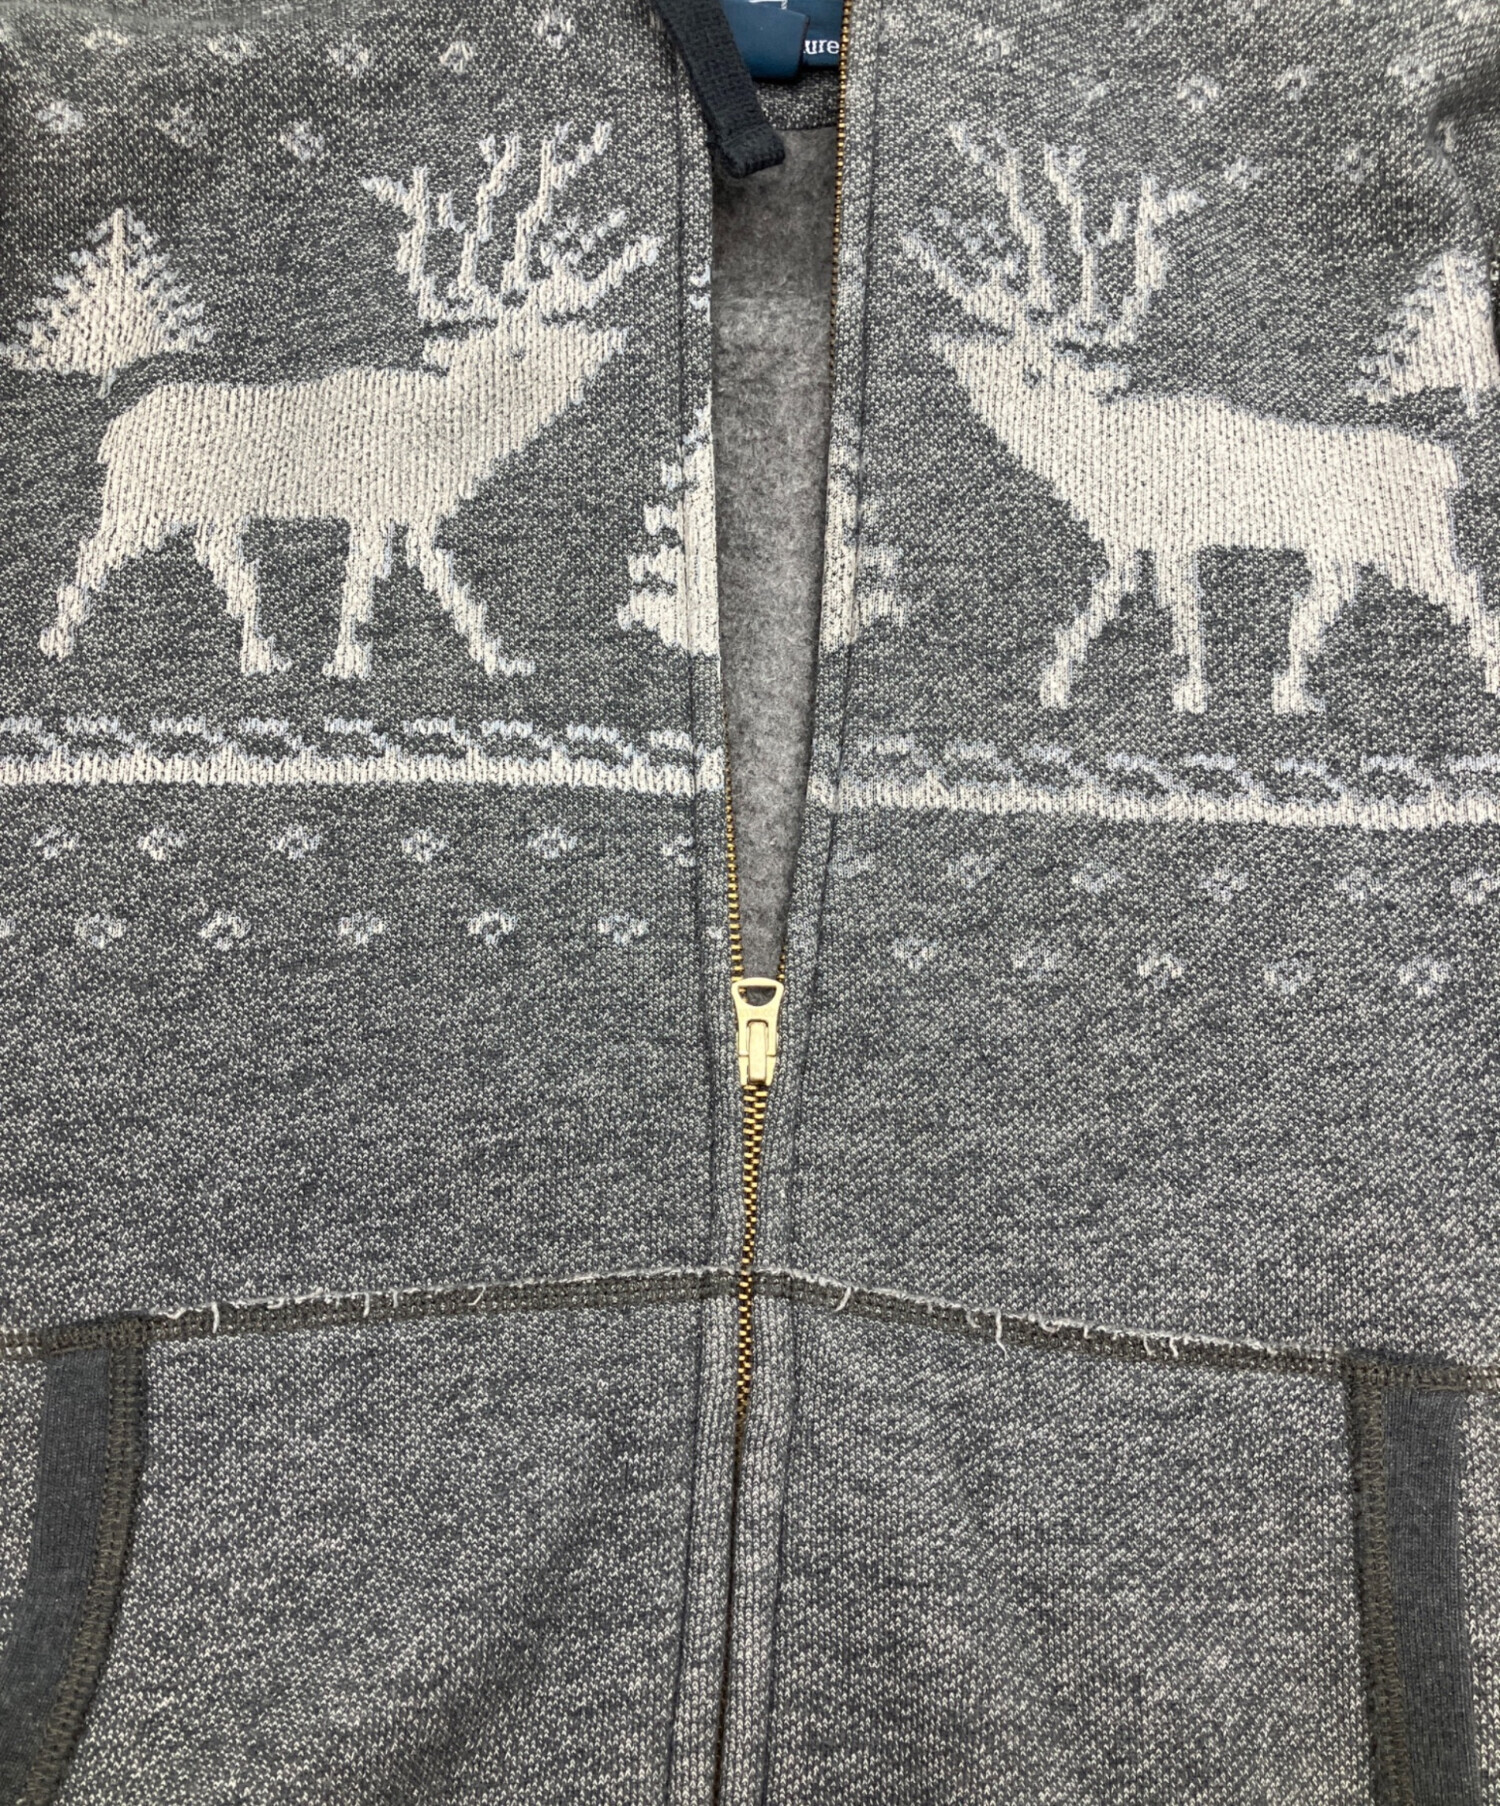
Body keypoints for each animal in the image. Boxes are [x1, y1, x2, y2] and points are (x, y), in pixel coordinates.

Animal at [41, 121, 660, 681]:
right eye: (519, 347)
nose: (597, 350)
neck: (449, 434)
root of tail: (114, 432)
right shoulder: (375, 501)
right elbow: (370, 579)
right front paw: (353, 662)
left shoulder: (412, 512)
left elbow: (432, 578)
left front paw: (496, 659)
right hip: (141, 502)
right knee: (92, 554)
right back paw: (56, 642)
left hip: (212, 509)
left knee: (222, 562)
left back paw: (264, 656)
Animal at [903, 126, 1500, 716]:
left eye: (1034, 372)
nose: (974, 378)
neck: (1096, 456)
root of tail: (1447, 467)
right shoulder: (1131, 537)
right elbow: (1123, 599)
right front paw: (1070, 681)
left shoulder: (1170, 532)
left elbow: (1172, 606)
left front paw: (1177, 691)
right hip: (1340, 548)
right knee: (1326, 602)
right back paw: (1290, 692)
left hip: (1413, 541)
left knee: (1466, 585)